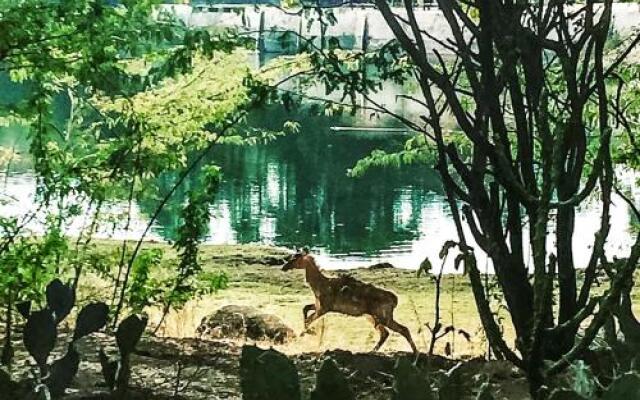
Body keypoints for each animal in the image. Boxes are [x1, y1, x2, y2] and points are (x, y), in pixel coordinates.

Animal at [282, 248, 418, 354]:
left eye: (295, 258)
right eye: (292, 256)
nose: (283, 267)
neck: (318, 286)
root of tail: (395, 300)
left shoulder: (325, 307)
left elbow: (308, 319)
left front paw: (308, 333)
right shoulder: (319, 304)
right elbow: (305, 308)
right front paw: (309, 333)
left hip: (383, 315)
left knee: (403, 329)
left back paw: (416, 352)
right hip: (373, 316)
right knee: (386, 333)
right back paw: (372, 350)